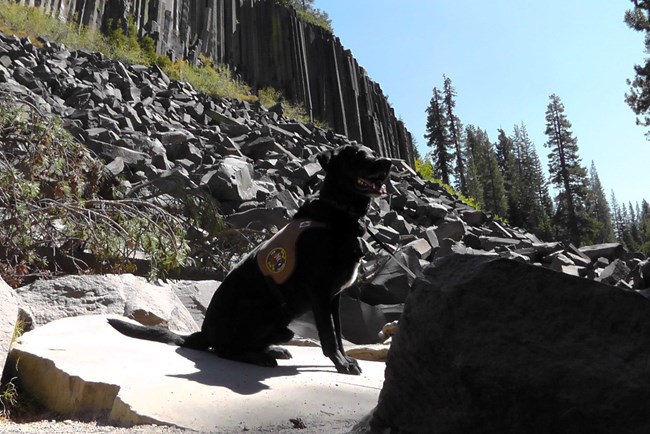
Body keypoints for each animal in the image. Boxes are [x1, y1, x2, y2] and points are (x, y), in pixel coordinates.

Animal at [108, 144, 390, 374]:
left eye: (373, 152)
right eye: (358, 156)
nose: (388, 162)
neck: (338, 213)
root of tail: (204, 333)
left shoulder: (334, 297)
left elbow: (339, 334)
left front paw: (345, 360)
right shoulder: (321, 293)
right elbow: (329, 336)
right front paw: (341, 364)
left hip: (283, 326)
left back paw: (271, 350)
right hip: (261, 311)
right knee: (224, 350)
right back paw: (259, 357)